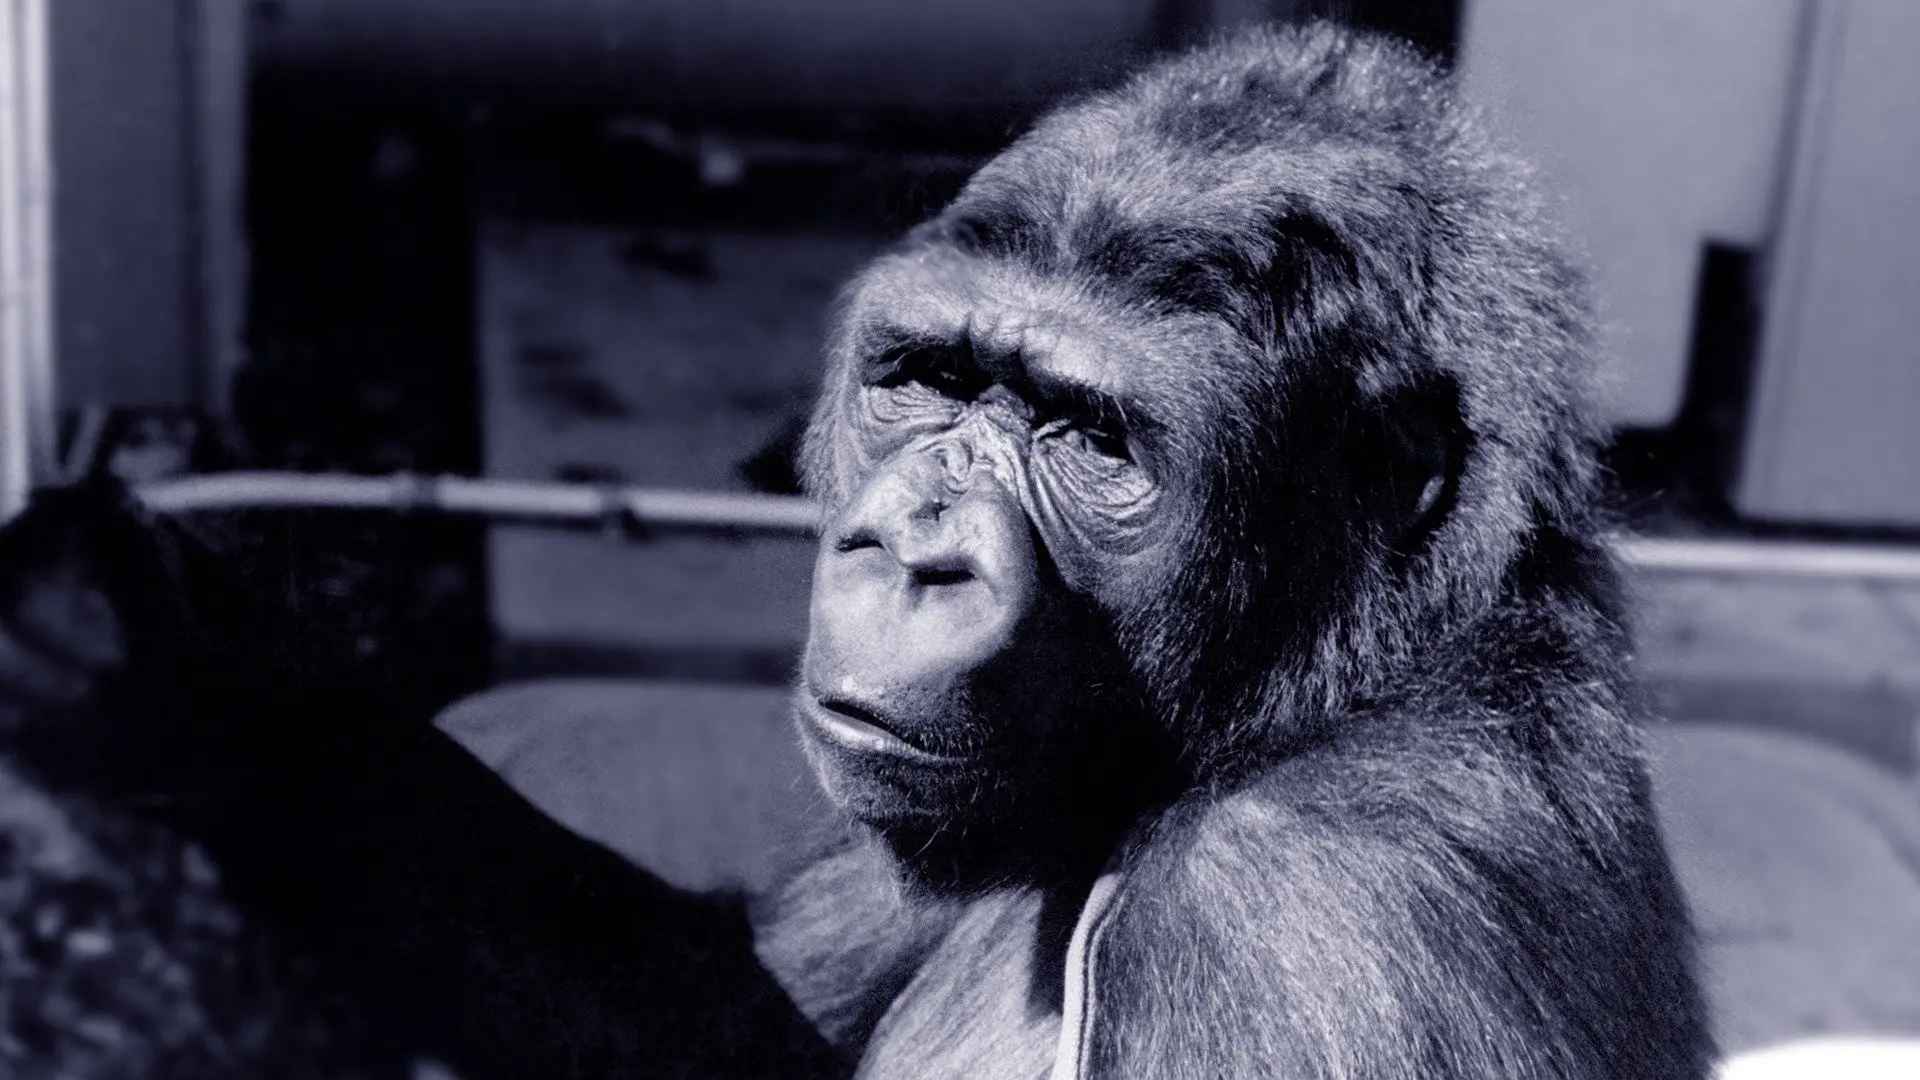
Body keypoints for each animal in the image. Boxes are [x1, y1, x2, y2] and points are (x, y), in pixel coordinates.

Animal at [0, 21, 1714, 1080]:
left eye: (1092, 439)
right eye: (932, 380)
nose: (912, 550)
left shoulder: (1307, 927)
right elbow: (708, 1008)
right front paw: (168, 671)